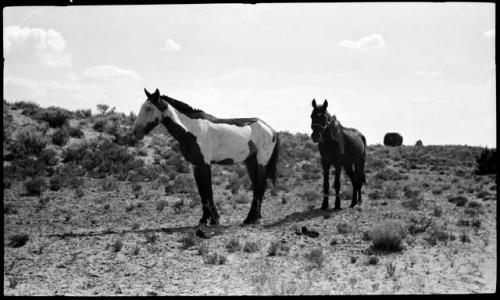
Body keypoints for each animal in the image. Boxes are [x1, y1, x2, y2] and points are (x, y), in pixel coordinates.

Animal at [131, 89, 280, 225]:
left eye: (149, 108)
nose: (135, 132)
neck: (192, 130)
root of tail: (271, 129)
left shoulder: (205, 164)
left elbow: (209, 192)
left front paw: (215, 219)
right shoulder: (195, 166)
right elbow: (202, 193)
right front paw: (204, 219)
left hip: (260, 162)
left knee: (260, 186)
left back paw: (252, 218)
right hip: (251, 162)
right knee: (257, 186)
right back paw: (253, 218)